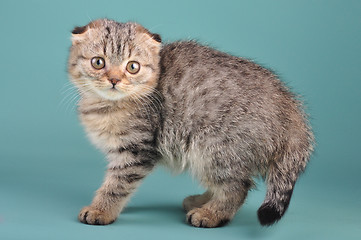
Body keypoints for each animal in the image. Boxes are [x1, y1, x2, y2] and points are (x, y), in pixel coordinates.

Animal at [67, 18, 312, 227]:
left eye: (132, 67)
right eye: (98, 62)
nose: (114, 80)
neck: (107, 105)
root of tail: (291, 107)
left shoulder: (136, 150)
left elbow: (116, 185)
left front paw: (101, 210)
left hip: (215, 147)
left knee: (237, 188)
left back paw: (211, 214)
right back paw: (202, 201)